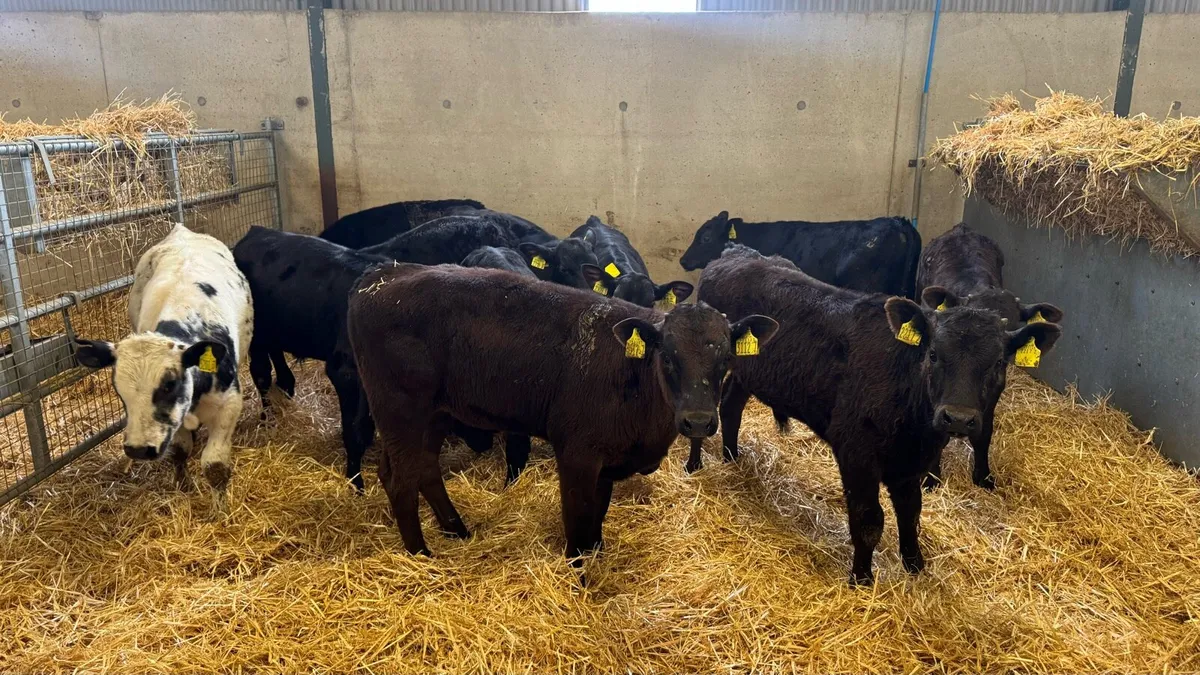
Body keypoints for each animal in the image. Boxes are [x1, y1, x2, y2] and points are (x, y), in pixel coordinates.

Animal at [74, 224, 253, 513]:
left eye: (169, 384)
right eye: (118, 390)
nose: (137, 449)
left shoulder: (229, 404)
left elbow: (214, 465)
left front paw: (220, 511)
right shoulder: (174, 422)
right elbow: (179, 450)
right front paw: (183, 485)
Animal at [347, 263, 778, 564]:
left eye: (726, 360)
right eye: (668, 356)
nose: (699, 421)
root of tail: (385, 273)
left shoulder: (607, 461)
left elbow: (597, 516)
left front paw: (597, 555)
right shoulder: (577, 454)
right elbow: (576, 520)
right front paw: (578, 573)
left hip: (434, 414)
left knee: (423, 469)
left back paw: (457, 530)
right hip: (400, 410)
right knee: (402, 480)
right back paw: (421, 555)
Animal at [690, 245, 1061, 585]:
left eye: (999, 362)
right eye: (933, 354)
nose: (957, 418)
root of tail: (735, 252)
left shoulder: (911, 464)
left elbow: (911, 512)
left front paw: (915, 565)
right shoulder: (856, 452)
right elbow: (869, 519)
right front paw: (862, 577)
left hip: (748, 373)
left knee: (732, 405)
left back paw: (732, 456)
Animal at [915, 222, 1064, 489]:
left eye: (998, 360)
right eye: (935, 355)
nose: (960, 419)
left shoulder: (994, 389)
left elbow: (984, 434)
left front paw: (983, 476)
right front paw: (931, 477)